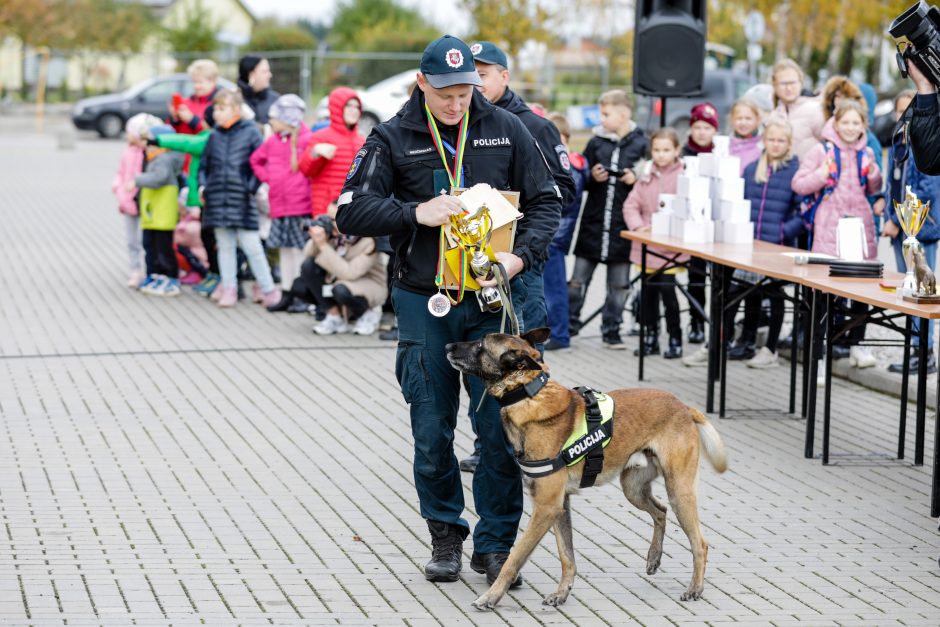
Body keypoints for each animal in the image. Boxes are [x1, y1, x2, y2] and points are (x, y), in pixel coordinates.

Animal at [446, 332, 728, 612]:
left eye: (480, 344)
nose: (448, 345)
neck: (528, 394)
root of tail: (683, 406)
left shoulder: (546, 506)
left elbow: (515, 557)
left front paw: (491, 597)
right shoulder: (560, 506)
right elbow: (566, 555)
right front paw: (562, 593)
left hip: (679, 490)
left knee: (700, 543)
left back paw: (695, 588)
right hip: (633, 488)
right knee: (660, 511)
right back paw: (654, 557)